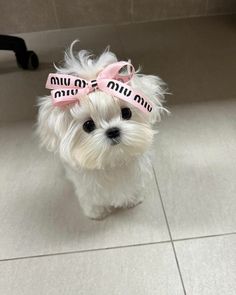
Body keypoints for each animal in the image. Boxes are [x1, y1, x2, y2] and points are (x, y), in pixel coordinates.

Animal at [37, 42, 167, 221]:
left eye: (126, 113)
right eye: (88, 125)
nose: (112, 131)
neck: (112, 160)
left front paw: (133, 200)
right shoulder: (87, 189)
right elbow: (92, 201)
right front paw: (96, 213)